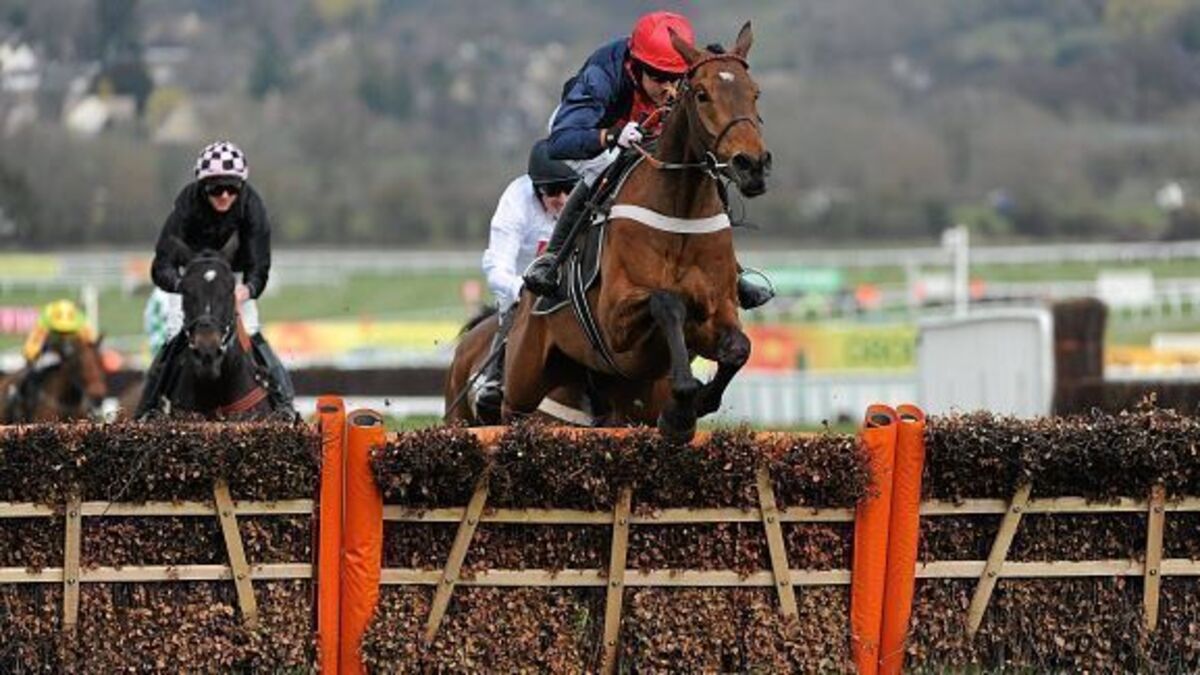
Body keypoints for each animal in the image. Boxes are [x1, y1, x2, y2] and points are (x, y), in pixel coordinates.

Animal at [504, 23, 769, 442]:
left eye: (754, 92)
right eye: (702, 94)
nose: (752, 165)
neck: (681, 212)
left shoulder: (717, 311)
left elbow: (738, 349)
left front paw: (694, 404)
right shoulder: (615, 320)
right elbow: (667, 302)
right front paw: (681, 410)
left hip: (617, 385)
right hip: (524, 377)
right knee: (508, 411)